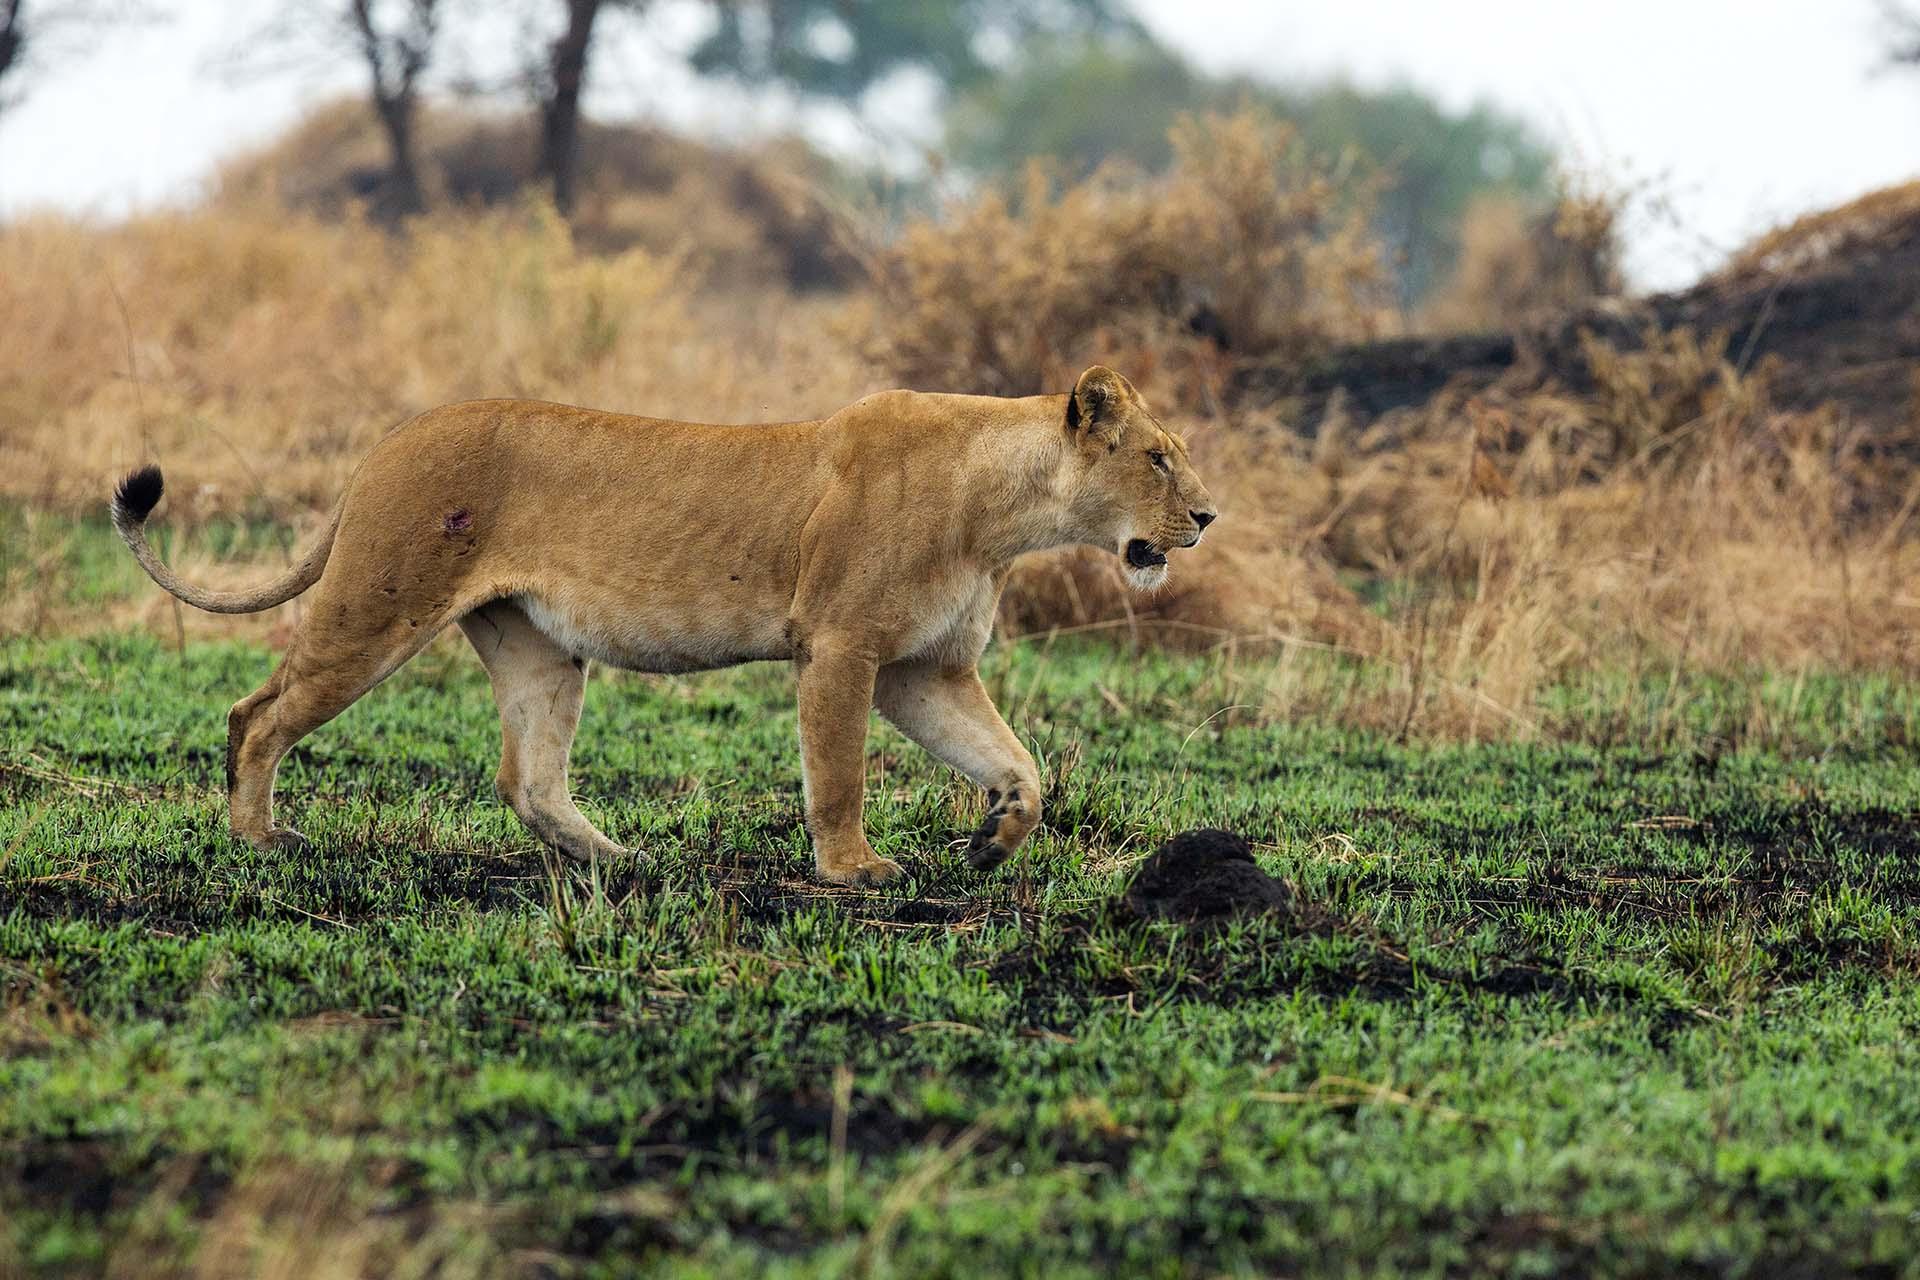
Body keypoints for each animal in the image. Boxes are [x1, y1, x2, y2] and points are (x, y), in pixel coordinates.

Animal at [111, 365, 1217, 886]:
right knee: (257, 714)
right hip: (377, 605)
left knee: (529, 779)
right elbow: (839, 774)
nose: (1209, 516)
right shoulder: (842, 645)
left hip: (537, 646)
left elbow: (1018, 763)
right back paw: (258, 837)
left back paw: (620, 860)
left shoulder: (925, 670)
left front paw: (994, 841)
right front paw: (853, 869)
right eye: (1158, 458)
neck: (1002, 514)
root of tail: (385, 445)